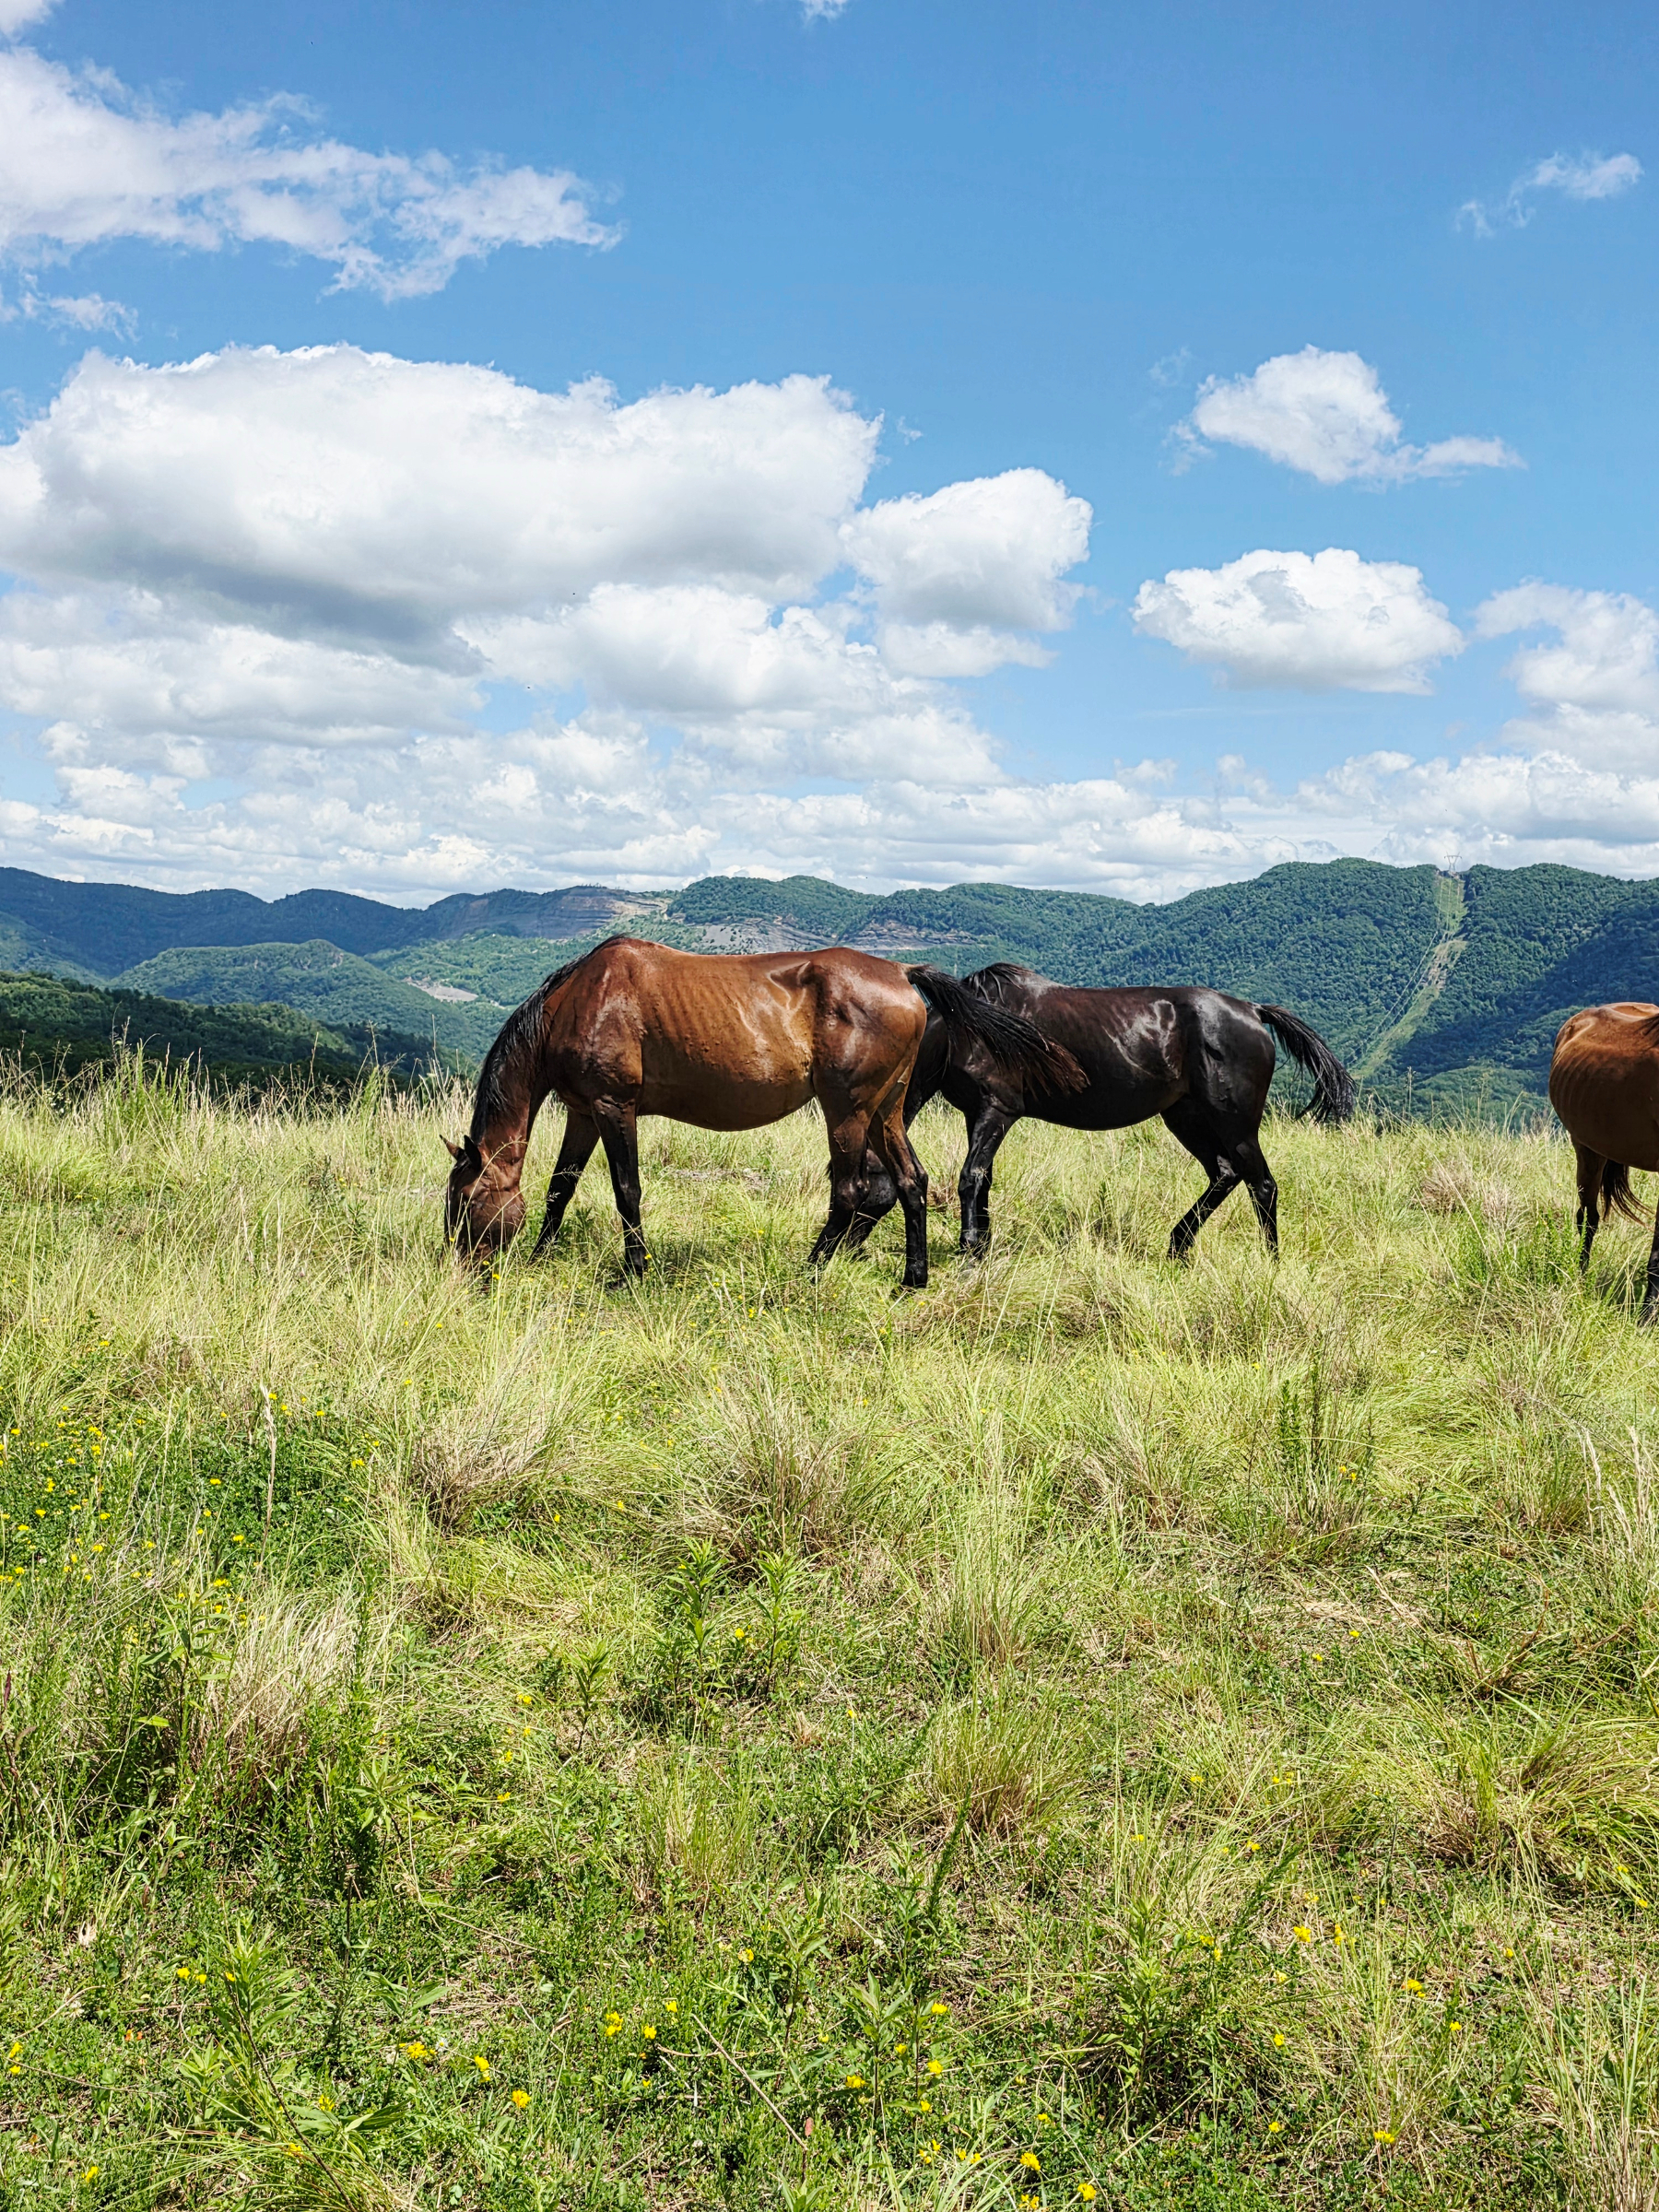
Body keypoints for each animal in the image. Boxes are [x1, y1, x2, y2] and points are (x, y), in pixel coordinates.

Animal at [443, 937, 1081, 1288]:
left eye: (466, 1201)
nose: (465, 1271)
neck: (582, 999)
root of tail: (903, 973)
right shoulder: (582, 1112)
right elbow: (560, 1188)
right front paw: (539, 1256)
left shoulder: (612, 1107)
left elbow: (627, 1189)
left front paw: (634, 1271)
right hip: (888, 1109)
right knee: (911, 1181)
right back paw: (912, 1279)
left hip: (847, 1110)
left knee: (849, 1191)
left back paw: (810, 1272)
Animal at [856, 965, 1355, 1260]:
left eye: (858, 1188)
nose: (842, 1250)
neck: (964, 1030)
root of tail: (1253, 1011)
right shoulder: (976, 1114)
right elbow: (985, 1179)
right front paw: (984, 1244)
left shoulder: (996, 1110)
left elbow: (971, 1177)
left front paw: (971, 1250)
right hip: (1186, 1118)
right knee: (1226, 1174)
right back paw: (1178, 1247)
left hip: (1234, 1123)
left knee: (1262, 1184)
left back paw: (1269, 1260)